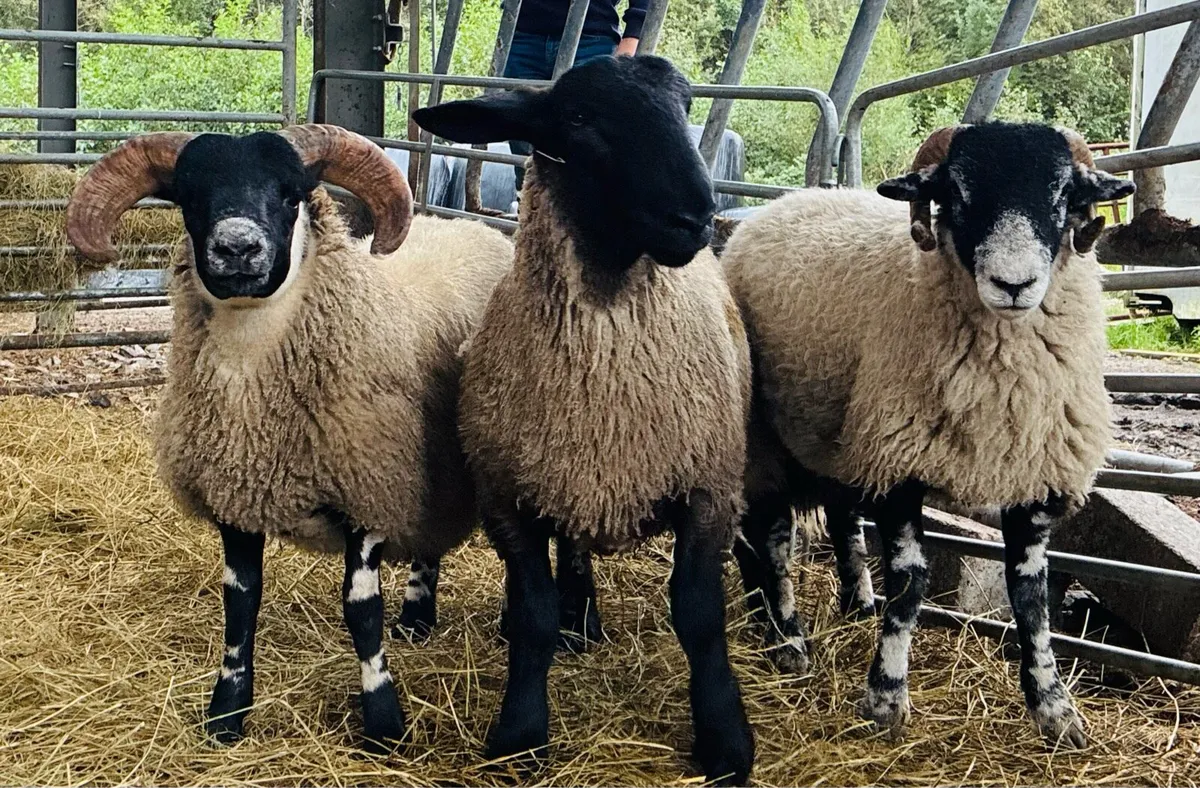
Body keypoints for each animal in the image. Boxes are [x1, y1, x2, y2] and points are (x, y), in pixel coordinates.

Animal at [65, 124, 514, 751]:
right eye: (190, 196)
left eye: (290, 194)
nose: (237, 249)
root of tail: (465, 224)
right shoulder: (236, 498)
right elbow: (240, 604)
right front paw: (226, 714)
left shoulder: (367, 491)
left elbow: (361, 612)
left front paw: (383, 722)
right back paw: (417, 620)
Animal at [411, 55, 755, 785]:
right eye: (577, 117)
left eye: (685, 105)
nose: (696, 215)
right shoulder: (507, 500)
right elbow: (534, 615)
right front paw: (519, 733)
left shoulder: (710, 489)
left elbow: (699, 615)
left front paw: (724, 742)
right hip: (561, 472)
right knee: (569, 550)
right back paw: (578, 622)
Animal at [721, 122, 1135, 749]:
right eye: (956, 195)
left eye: (1064, 195)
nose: (1014, 284)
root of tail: (791, 200)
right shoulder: (899, 464)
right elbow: (911, 584)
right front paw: (886, 698)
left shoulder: (1034, 476)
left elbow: (1031, 597)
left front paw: (1054, 708)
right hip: (764, 437)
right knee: (771, 539)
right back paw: (786, 637)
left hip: (839, 435)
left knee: (838, 522)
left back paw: (846, 605)